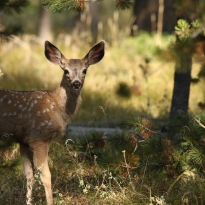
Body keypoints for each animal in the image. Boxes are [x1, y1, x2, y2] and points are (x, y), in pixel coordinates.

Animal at [0, 39, 105, 203]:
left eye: (85, 70)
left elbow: (29, 175)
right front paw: (50, 202)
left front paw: (28, 202)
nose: (76, 83)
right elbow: (46, 176)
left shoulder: (23, 139)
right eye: (66, 71)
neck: (57, 106)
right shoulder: (39, 136)